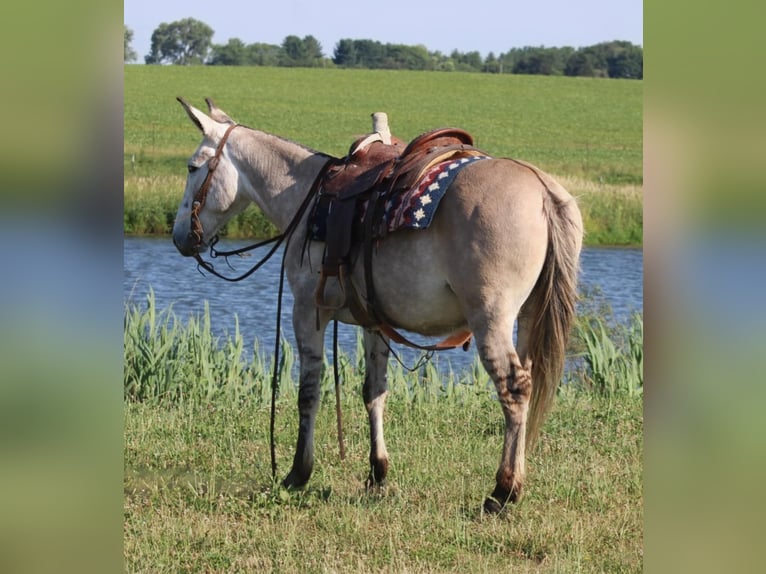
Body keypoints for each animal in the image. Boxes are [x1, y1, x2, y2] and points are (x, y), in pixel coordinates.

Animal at [172, 97, 584, 516]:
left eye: (192, 167)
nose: (179, 236)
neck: (306, 199)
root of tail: (541, 187)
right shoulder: (374, 322)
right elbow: (374, 391)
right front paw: (377, 474)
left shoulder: (307, 312)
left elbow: (309, 391)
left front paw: (298, 473)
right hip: (529, 316)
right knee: (527, 386)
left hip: (492, 319)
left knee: (513, 389)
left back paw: (503, 491)